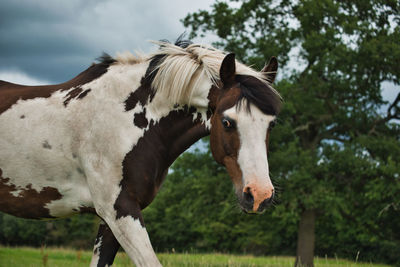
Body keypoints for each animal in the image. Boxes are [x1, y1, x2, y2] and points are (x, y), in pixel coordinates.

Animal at [0, 38, 282, 266]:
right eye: (227, 122)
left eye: (272, 123)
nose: (259, 195)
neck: (124, 120)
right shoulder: (119, 209)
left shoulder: (112, 218)